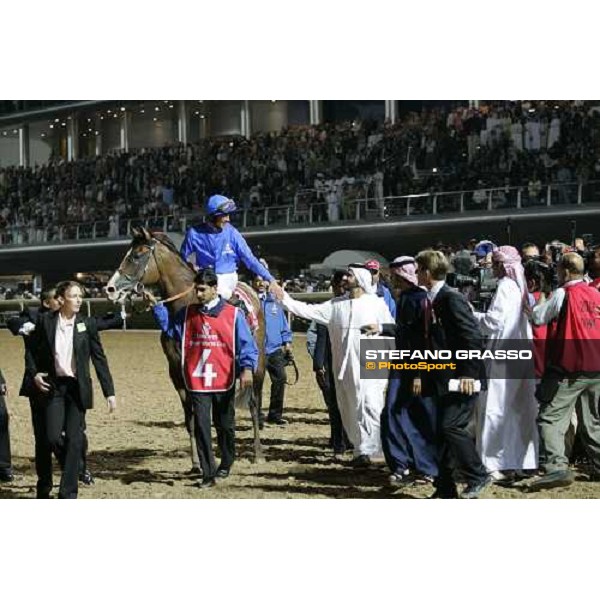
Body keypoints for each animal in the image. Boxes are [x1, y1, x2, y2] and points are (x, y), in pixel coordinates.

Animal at [105, 227, 264, 472]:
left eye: (137, 255)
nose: (110, 288)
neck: (187, 307)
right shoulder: (177, 373)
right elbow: (191, 417)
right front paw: (197, 462)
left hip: (257, 366)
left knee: (254, 404)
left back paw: (257, 453)